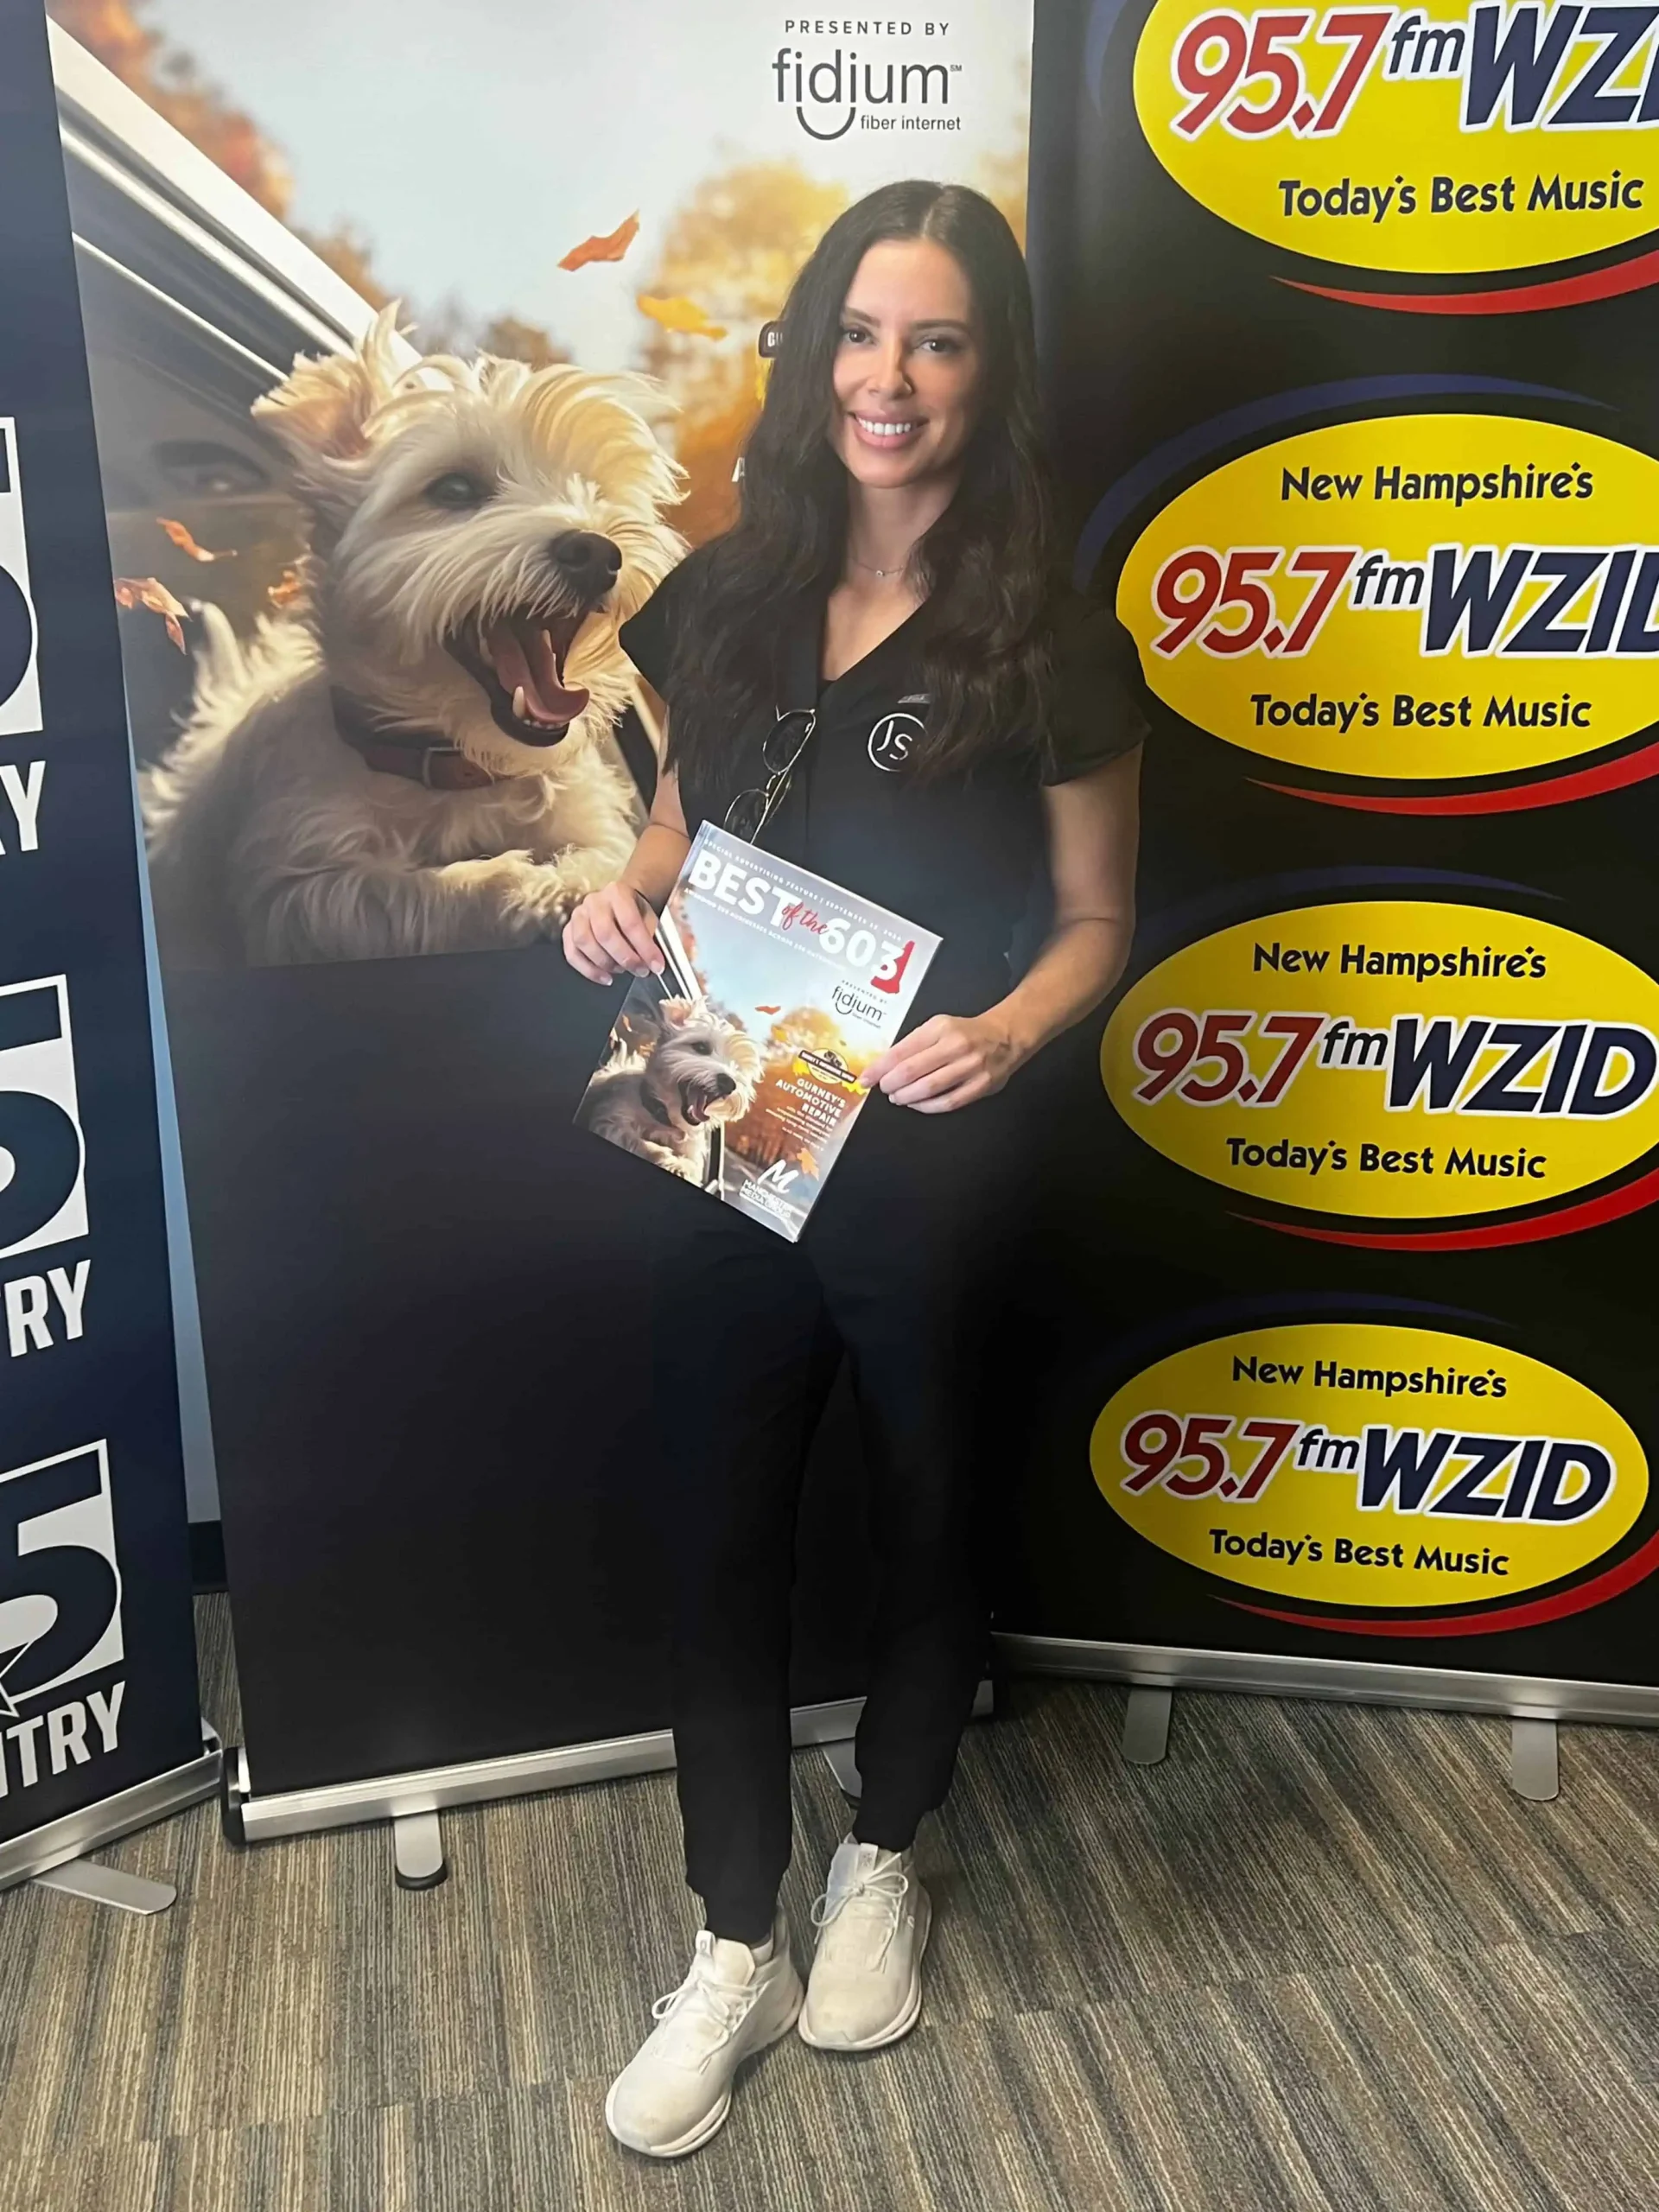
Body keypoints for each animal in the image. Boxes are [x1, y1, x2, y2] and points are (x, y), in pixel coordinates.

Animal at [143, 307, 685, 964]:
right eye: (453, 490)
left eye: (596, 490)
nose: (596, 552)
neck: (456, 768)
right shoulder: (302, 878)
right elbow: (414, 892)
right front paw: (528, 887)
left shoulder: (589, 819)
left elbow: (606, 855)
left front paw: (580, 886)